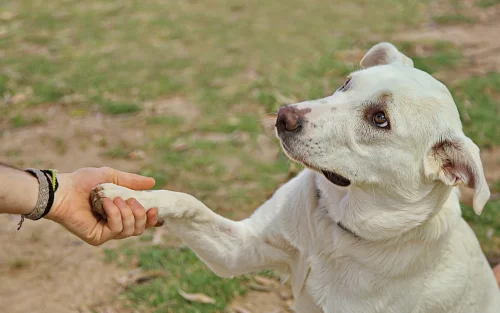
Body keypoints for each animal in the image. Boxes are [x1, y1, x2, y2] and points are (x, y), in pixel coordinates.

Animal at [92, 42, 500, 312]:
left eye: (380, 118)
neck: (337, 230)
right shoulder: (239, 250)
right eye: (346, 83)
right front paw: (125, 196)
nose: (283, 115)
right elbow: (187, 201)